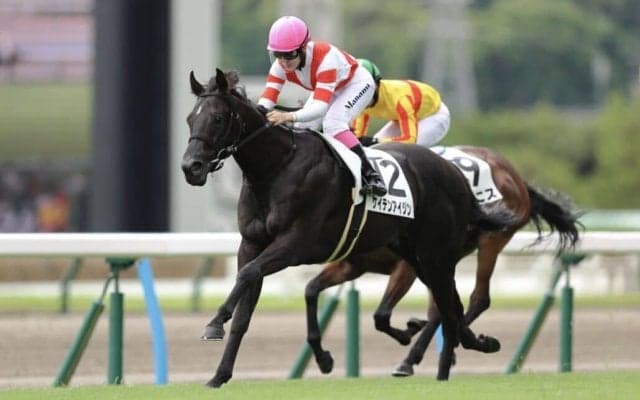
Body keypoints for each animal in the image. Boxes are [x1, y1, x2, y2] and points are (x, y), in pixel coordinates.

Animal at [181, 68, 517, 388]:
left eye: (217, 118)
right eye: (189, 119)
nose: (190, 168)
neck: (277, 167)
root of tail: (455, 173)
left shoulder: (294, 245)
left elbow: (247, 274)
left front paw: (214, 323)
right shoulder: (251, 245)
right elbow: (245, 310)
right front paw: (219, 375)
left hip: (436, 254)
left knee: (451, 304)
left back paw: (459, 347)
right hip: (417, 256)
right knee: (450, 307)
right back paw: (467, 346)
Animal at [304, 145, 581, 377]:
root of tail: (516, 177)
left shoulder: (407, 265)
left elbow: (382, 314)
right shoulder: (352, 265)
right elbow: (313, 288)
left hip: (489, 240)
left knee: (478, 298)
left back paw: (438, 348)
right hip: (448, 256)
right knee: (443, 305)